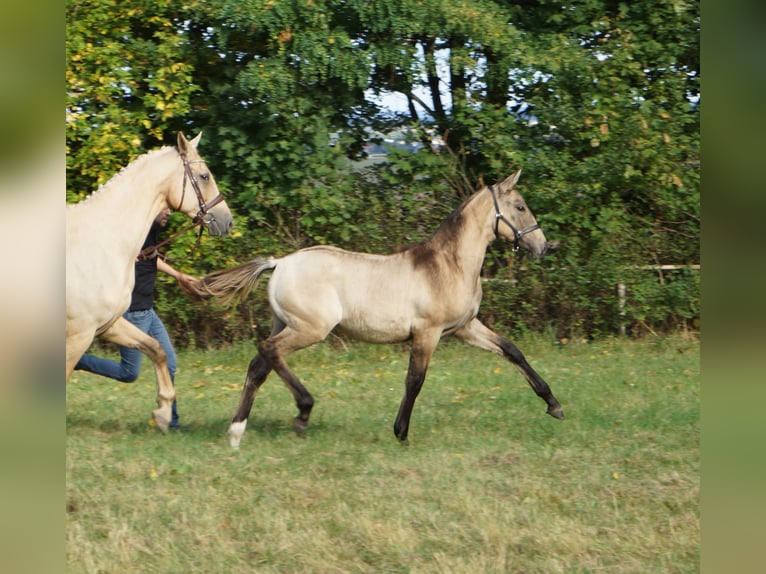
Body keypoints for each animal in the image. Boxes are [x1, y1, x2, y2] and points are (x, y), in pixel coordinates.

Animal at [66, 132, 234, 431]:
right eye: (204, 176)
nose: (227, 222)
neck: (102, 241)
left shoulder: (108, 323)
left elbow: (156, 349)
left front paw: (164, 412)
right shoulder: (79, 333)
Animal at [186, 170, 563, 447]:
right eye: (520, 207)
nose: (542, 246)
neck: (449, 265)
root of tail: (279, 263)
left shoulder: (464, 327)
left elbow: (512, 351)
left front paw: (554, 405)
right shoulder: (427, 333)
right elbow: (415, 380)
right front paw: (401, 433)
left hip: (285, 324)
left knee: (258, 366)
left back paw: (237, 431)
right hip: (310, 329)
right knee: (269, 351)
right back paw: (303, 411)